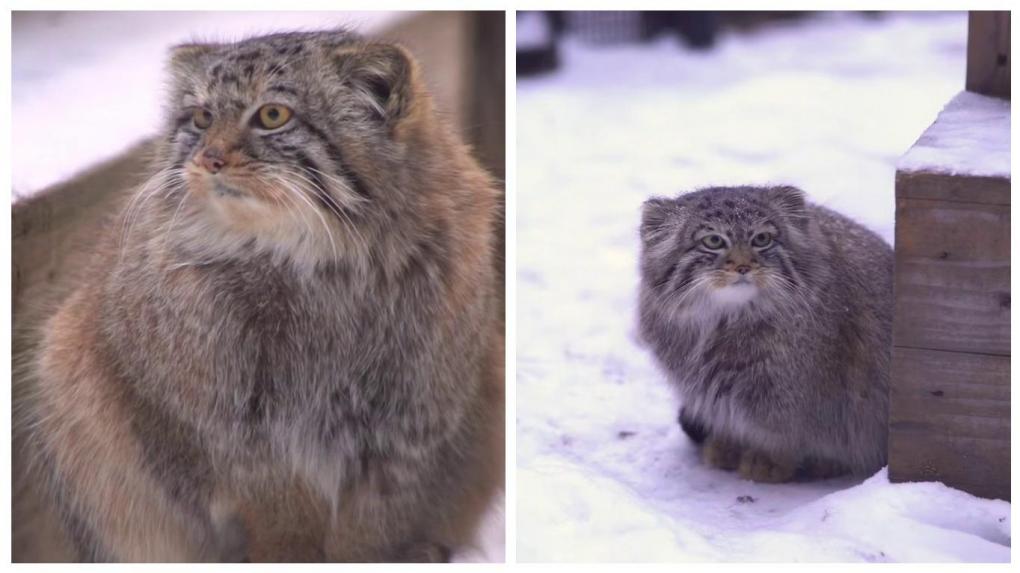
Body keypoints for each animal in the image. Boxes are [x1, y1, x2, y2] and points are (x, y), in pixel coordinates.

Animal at [17, 29, 503, 558]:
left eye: (272, 115)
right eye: (201, 117)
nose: (209, 158)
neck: (321, 268)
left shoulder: (408, 428)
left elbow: (373, 529)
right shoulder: (226, 441)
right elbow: (282, 524)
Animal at [640, 185, 889, 479]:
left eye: (762, 239)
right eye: (713, 241)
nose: (743, 266)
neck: (725, 323)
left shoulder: (794, 398)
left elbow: (787, 435)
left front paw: (769, 460)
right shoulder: (714, 394)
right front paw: (727, 446)